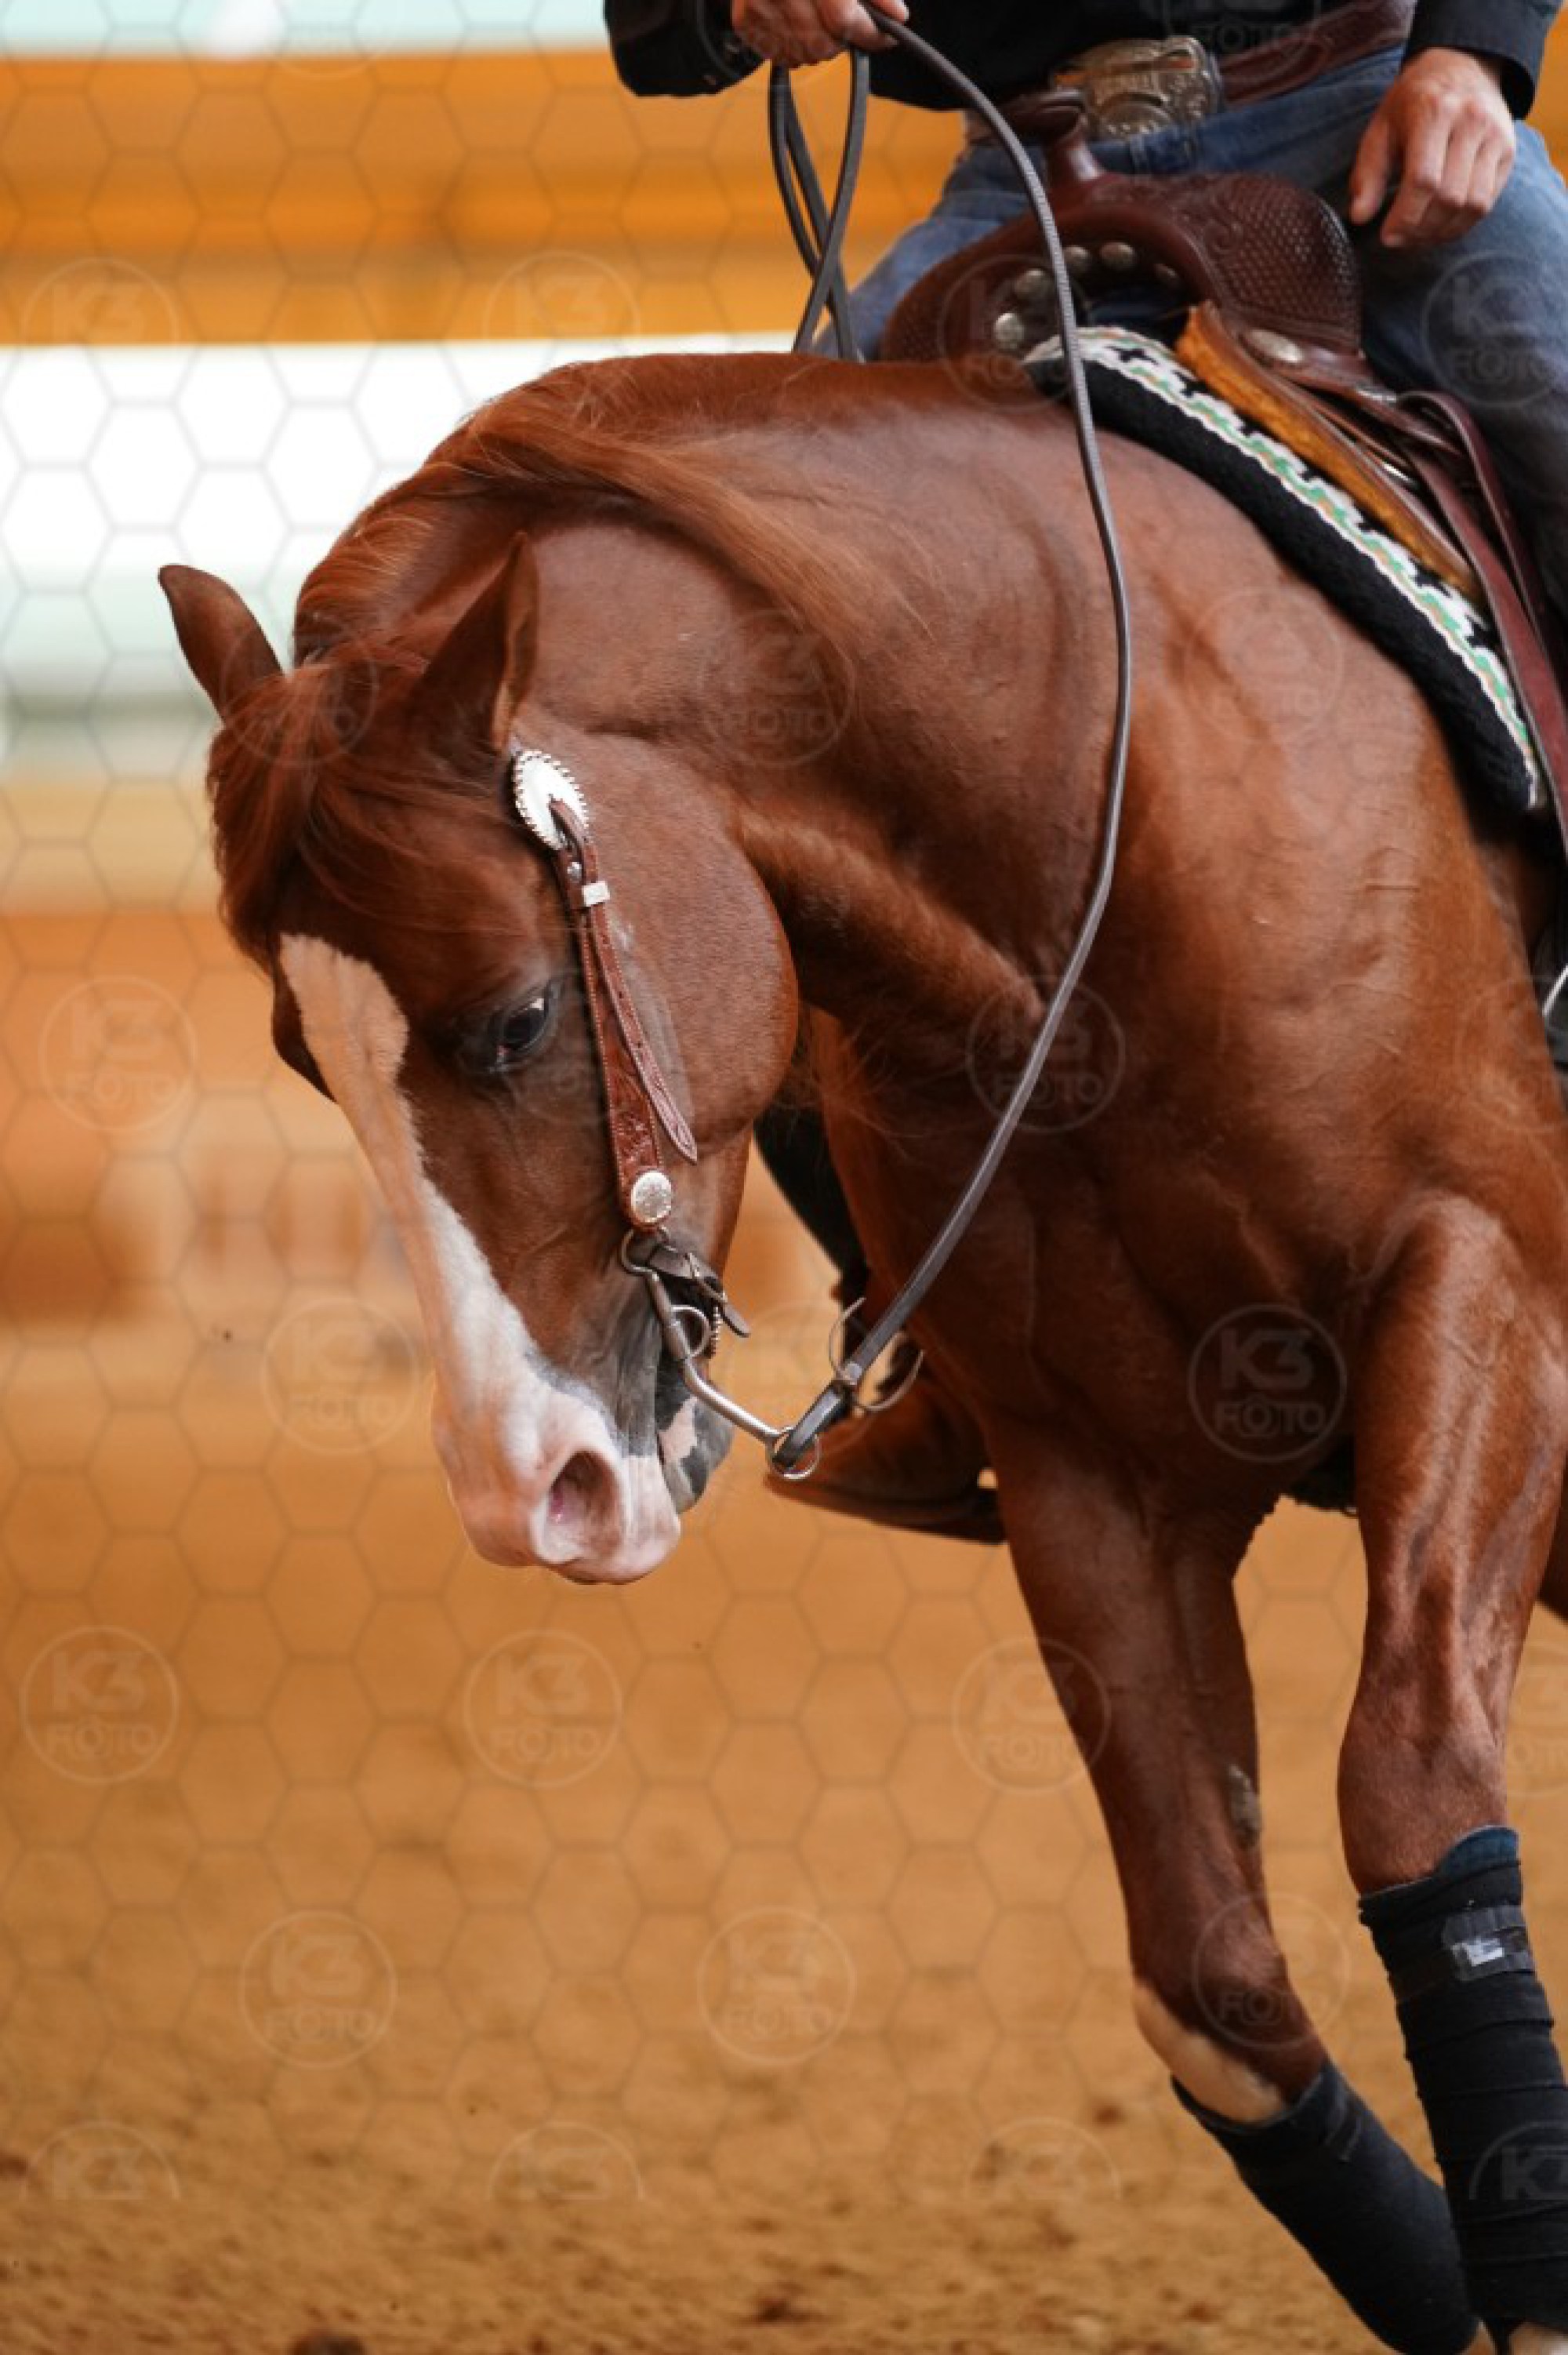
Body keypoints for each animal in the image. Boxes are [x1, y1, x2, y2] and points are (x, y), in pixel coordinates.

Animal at [162, 343, 1568, 2352]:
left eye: (513, 1018)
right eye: (304, 1059)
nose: (529, 1487)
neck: (1108, 815)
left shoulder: (1484, 1290)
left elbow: (1408, 1788)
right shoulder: (1091, 1477)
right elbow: (1210, 1982)